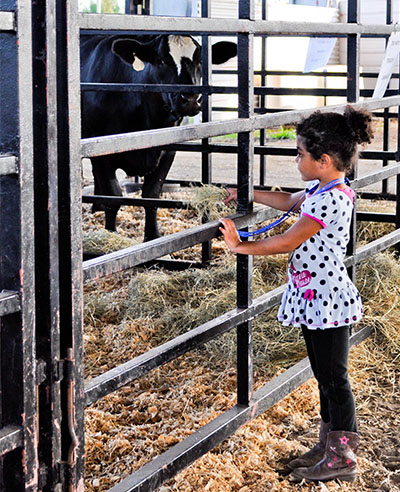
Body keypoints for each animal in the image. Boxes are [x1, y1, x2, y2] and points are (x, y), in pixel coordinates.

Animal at [81, 33, 238, 241]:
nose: (190, 99)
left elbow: (152, 195)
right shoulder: (101, 152)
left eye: (200, 61)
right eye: (162, 61)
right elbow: (113, 198)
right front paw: (111, 234)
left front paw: (152, 236)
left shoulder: (167, 149)